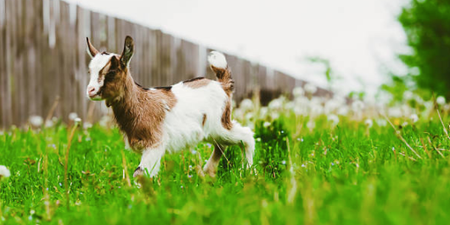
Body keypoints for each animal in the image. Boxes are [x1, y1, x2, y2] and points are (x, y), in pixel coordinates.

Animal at [84, 36, 253, 178]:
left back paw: (249, 173)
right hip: (211, 131)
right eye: (90, 71)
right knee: (221, 145)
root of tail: (222, 85)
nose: (90, 90)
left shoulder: (155, 142)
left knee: (246, 136)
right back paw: (208, 173)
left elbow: (140, 173)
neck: (140, 101)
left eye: (112, 72)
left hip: (220, 123)